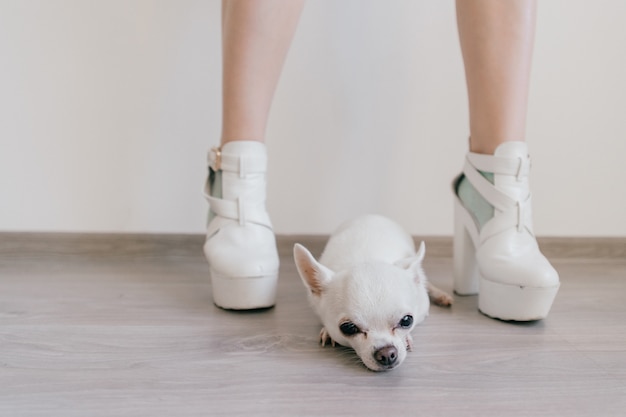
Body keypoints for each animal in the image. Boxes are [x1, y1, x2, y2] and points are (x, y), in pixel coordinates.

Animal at [292, 214, 448, 370]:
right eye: (348, 328)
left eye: (407, 320)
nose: (387, 354)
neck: (366, 258)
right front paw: (327, 332)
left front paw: (407, 338)